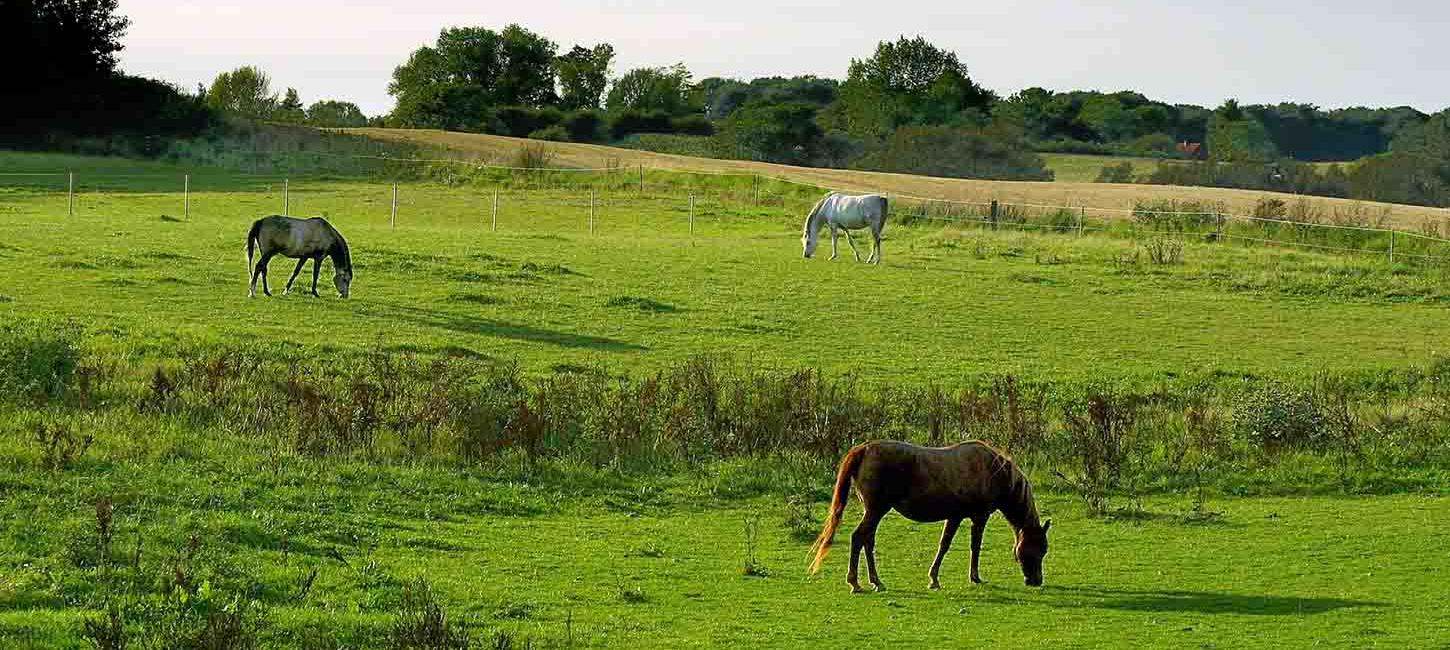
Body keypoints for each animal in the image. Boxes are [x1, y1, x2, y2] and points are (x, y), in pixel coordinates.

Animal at [806, 438, 1055, 591]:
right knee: (859, 538)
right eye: (1040, 549)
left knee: (867, 540)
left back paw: (876, 581)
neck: (992, 470)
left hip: (875, 511)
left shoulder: (955, 516)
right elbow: (973, 546)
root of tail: (863, 450)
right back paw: (856, 583)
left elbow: (945, 544)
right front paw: (972, 577)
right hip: (876, 510)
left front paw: (935, 578)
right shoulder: (979, 516)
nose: (1036, 581)